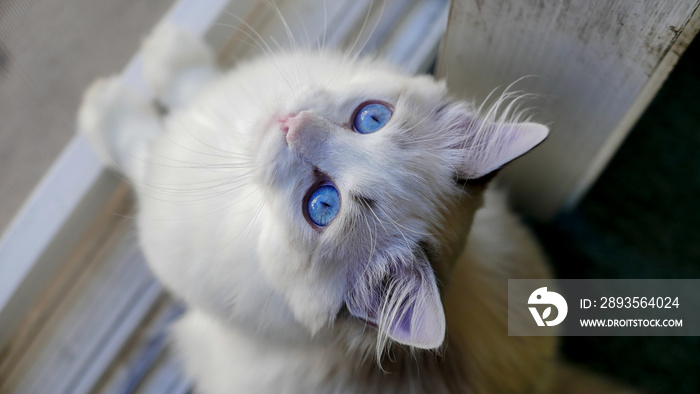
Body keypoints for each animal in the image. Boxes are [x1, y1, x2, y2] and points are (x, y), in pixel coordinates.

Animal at [79, 23, 628, 392]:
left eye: (322, 205)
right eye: (372, 118)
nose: (290, 123)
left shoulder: (162, 184)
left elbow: (139, 142)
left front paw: (101, 106)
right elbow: (196, 81)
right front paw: (167, 50)